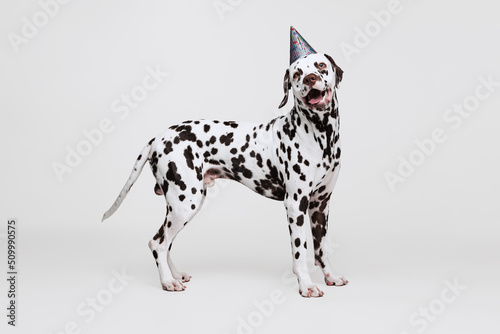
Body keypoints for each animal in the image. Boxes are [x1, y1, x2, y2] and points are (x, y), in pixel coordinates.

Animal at [102, 52, 348, 298]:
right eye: (297, 73)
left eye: (321, 65)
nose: (310, 78)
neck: (320, 136)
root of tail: (158, 137)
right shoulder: (296, 205)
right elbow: (300, 252)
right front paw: (306, 285)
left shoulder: (320, 205)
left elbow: (322, 249)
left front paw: (331, 277)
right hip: (185, 204)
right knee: (158, 244)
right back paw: (167, 282)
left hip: (182, 206)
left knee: (166, 243)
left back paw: (175, 275)